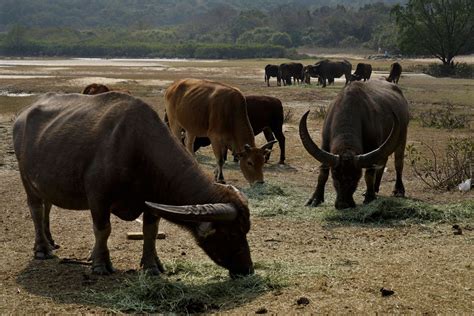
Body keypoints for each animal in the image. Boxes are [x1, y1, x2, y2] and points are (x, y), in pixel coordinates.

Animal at [12, 92, 252, 278]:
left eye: (246, 231)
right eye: (232, 234)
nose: (248, 269)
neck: (138, 148)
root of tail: (22, 117)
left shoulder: (152, 200)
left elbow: (150, 232)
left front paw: (152, 265)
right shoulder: (98, 198)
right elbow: (103, 230)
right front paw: (100, 263)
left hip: (45, 184)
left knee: (48, 207)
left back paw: (51, 241)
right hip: (27, 180)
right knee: (36, 210)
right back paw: (42, 249)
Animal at [300, 79, 408, 210]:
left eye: (357, 176)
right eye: (334, 175)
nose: (343, 204)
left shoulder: (373, 147)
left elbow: (369, 174)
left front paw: (369, 197)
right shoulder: (324, 145)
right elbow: (322, 174)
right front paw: (316, 198)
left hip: (402, 137)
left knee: (398, 163)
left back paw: (398, 190)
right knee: (383, 161)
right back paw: (376, 187)